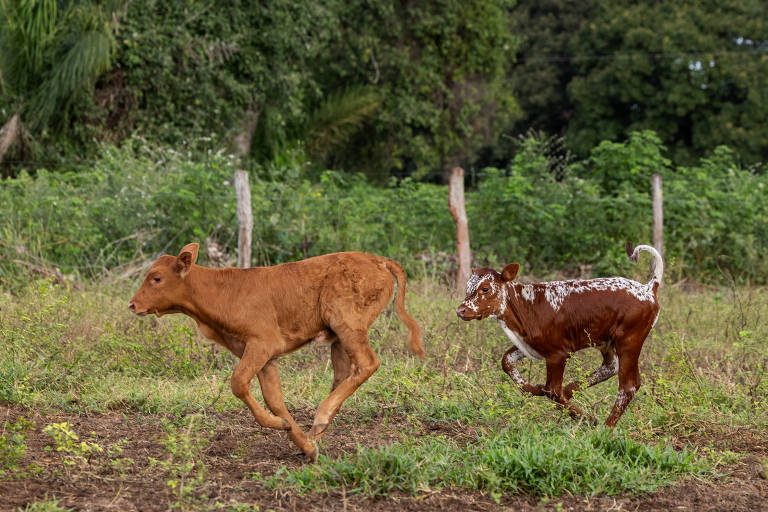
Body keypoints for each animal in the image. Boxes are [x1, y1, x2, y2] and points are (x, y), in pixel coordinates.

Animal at [128, 244, 424, 460]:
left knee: (368, 363)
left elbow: (238, 383)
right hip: (339, 336)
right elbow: (275, 400)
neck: (221, 294)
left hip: (347, 323)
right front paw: (302, 442)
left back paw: (321, 416)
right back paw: (318, 430)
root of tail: (378, 260)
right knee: (343, 374)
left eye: (156, 278)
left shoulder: (262, 344)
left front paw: (286, 429)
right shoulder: (265, 357)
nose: (132, 305)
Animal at [452, 242, 664, 426]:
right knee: (609, 368)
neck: (526, 305)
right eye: (468, 289)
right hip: (606, 342)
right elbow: (507, 362)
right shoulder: (531, 345)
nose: (461, 310)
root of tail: (648, 288)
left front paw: (587, 418)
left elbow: (552, 391)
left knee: (628, 386)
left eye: (485, 288)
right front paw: (533, 389)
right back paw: (571, 391)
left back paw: (605, 427)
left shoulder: (557, 353)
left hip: (629, 340)